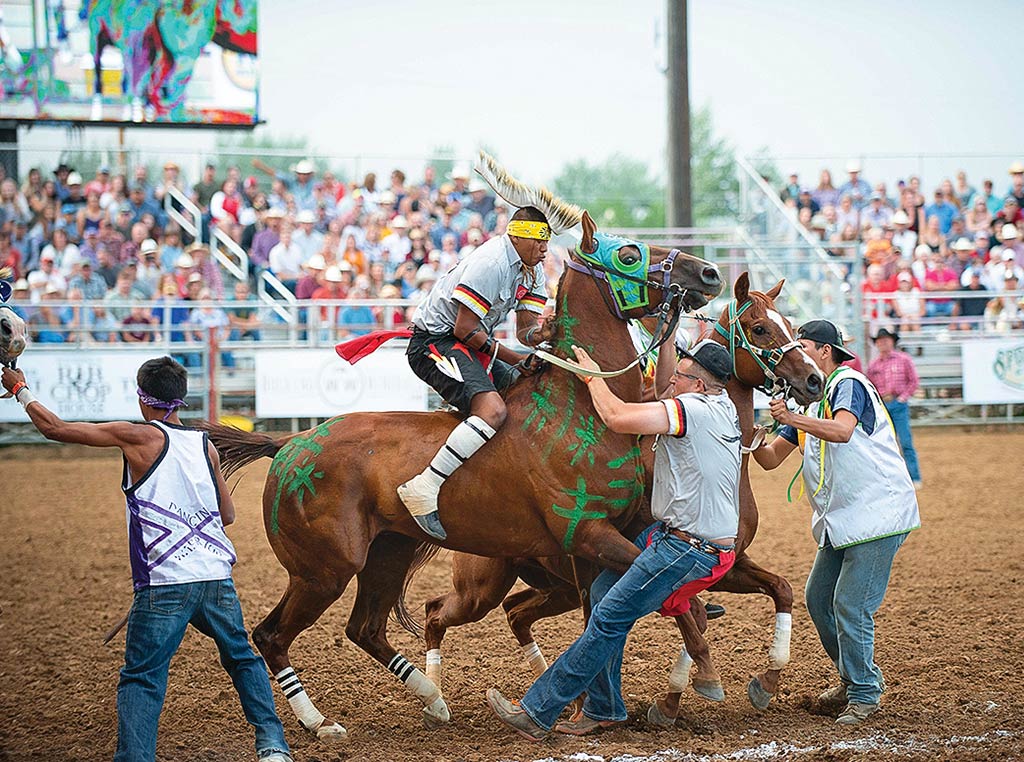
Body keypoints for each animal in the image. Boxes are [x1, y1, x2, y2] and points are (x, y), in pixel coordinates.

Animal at [203, 207, 724, 737]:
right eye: (629, 254)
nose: (708, 273)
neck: (580, 407)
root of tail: (290, 443)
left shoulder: (610, 538)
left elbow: (628, 608)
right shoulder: (587, 534)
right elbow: (675, 599)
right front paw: (697, 674)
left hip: (387, 554)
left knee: (365, 628)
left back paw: (432, 698)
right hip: (323, 570)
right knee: (271, 635)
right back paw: (319, 721)